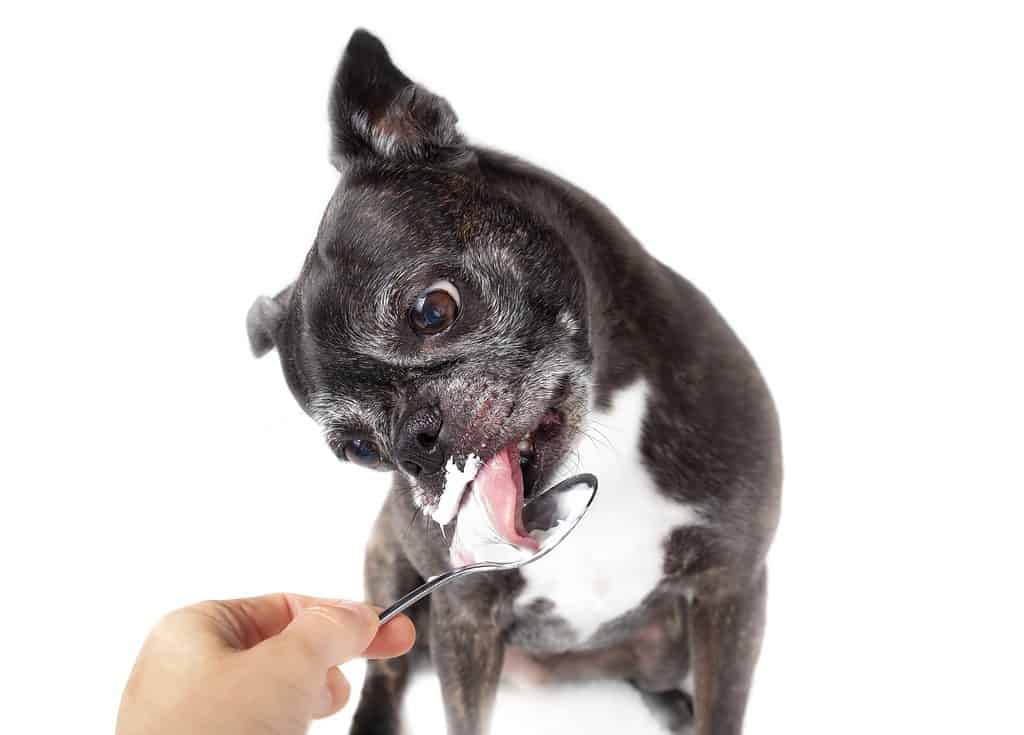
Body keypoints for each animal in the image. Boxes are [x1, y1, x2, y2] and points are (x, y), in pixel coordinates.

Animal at [247, 30, 774, 735]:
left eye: (434, 311)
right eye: (360, 451)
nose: (415, 444)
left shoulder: (731, 590)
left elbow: (725, 708)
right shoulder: (465, 618)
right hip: (387, 562)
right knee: (387, 668)